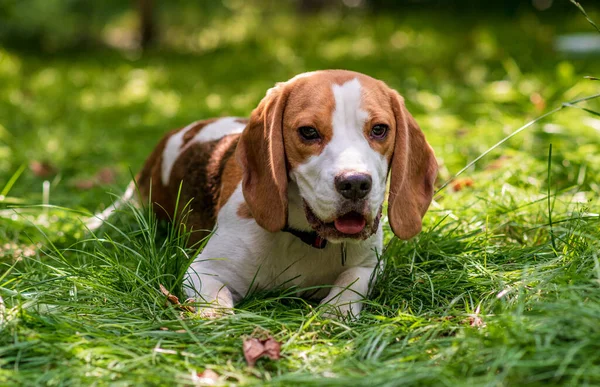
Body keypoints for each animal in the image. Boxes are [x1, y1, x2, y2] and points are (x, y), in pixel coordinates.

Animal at [92, 71, 436, 320]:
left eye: (379, 129)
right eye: (308, 132)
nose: (355, 184)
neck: (302, 238)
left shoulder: (369, 265)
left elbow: (350, 284)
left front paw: (334, 312)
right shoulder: (202, 271)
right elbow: (218, 305)